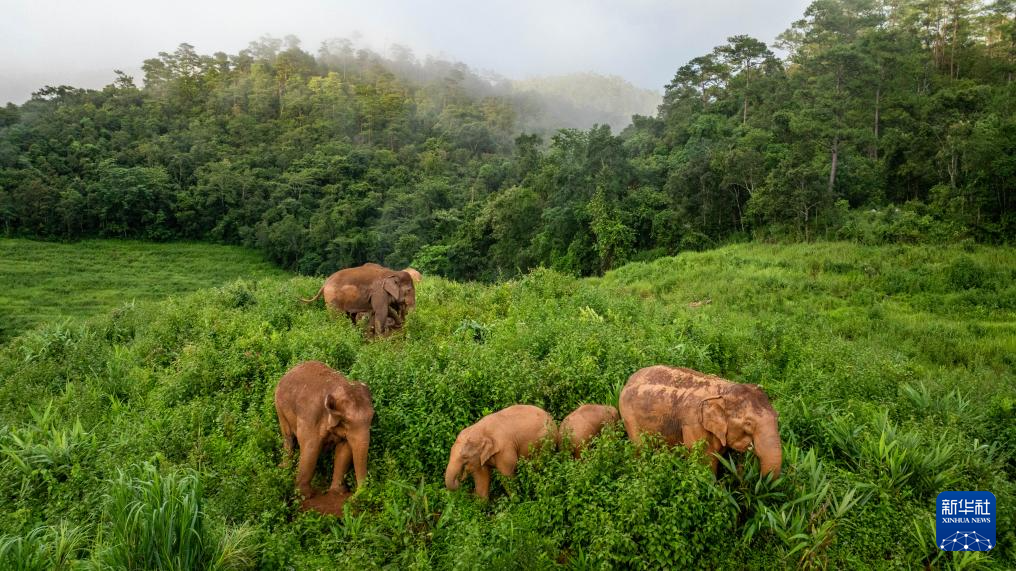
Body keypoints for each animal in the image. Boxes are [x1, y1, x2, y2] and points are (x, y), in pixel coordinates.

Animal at [274, 359, 373, 497]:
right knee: (288, 437)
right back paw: (284, 469)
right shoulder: (310, 416)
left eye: (372, 417)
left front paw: (337, 492)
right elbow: (311, 448)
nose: (356, 494)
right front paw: (306, 495)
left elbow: (344, 450)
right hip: (279, 407)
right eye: (346, 421)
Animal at [613, 363, 780, 475]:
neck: (724, 389)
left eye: (777, 416)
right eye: (748, 423)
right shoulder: (694, 425)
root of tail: (628, 380)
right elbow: (704, 463)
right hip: (629, 416)